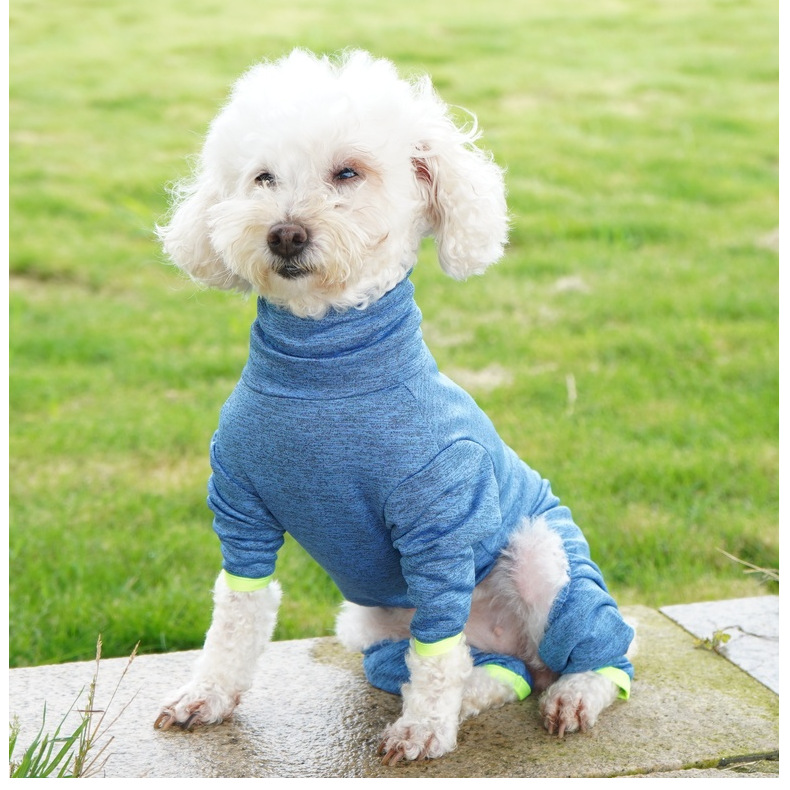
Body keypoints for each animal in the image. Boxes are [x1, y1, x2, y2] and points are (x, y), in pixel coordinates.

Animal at [153, 49, 635, 764]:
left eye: (347, 172)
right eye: (263, 177)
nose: (284, 234)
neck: (322, 371)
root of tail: (520, 647)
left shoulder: (439, 525)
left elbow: (436, 651)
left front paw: (424, 729)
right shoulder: (240, 511)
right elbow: (237, 613)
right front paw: (207, 694)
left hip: (544, 558)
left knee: (593, 652)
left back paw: (574, 690)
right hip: (368, 624)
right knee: (487, 671)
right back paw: (479, 690)